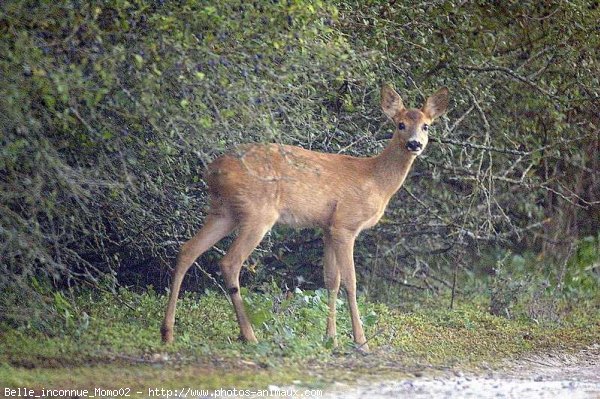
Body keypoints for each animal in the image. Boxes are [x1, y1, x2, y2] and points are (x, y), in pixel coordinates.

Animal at [162, 83, 448, 350]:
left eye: (426, 126)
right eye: (400, 124)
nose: (414, 144)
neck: (375, 180)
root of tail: (212, 169)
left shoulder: (328, 227)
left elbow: (331, 281)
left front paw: (331, 338)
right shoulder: (346, 224)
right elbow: (351, 282)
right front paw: (361, 342)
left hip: (223, 211)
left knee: (187, 250)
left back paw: (167, 332)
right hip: (258, 213)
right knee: (229, 262)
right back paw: (249, 336)